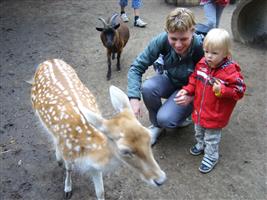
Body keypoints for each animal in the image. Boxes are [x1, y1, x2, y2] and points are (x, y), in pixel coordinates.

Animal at [30, 59, 166, 200]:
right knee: (52, 136)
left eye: (149, 137)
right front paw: (67, 189)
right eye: (125, 150)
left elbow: (100, 191)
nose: (160, 179)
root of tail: (49, 61)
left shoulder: (95, 168)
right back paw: (58, 158)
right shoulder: (68, 152)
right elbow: (68, 168)